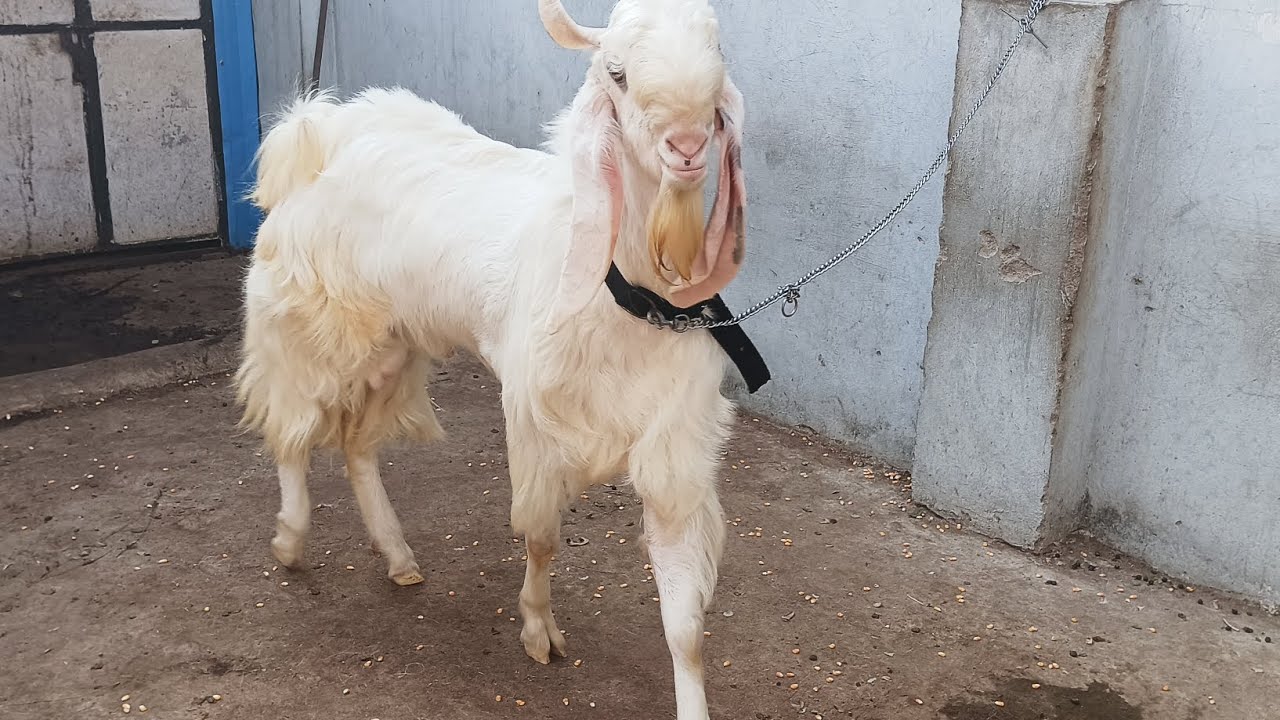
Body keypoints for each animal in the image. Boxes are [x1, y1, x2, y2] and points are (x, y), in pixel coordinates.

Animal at [234, 1, 752, 716]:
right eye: (616, 72)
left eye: (719, 57)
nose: (686, 147)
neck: (627, 292)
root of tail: (319, 131)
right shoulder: (536, 421)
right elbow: (540, 535)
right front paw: (537, 629)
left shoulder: (673, 450)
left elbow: (686, 627)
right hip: (312, 324)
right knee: (293, 429)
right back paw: (290, 538)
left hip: (395, 343)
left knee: (357, 443)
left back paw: (397, 555)